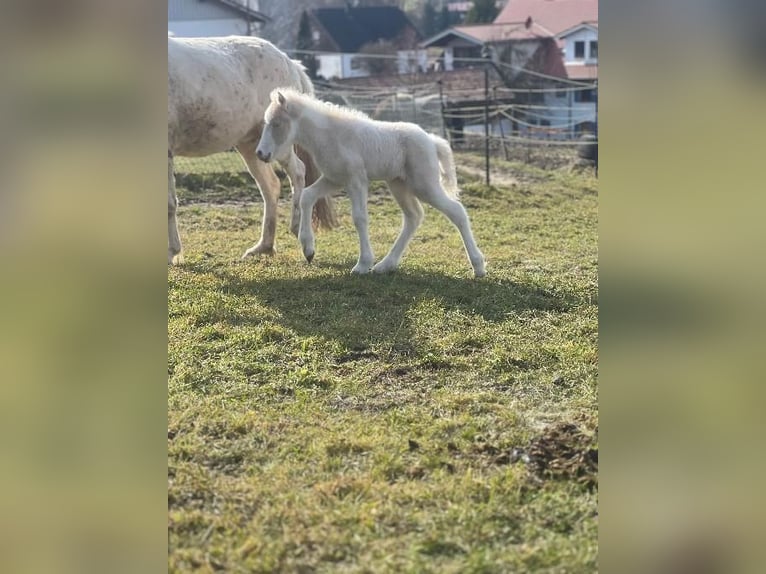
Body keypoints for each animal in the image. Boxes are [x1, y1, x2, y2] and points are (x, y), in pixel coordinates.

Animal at [167, 35, 337, 264]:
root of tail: (290, 63)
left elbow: (169, 203)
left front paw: (172, 253)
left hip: (278, 145)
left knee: (298, 173)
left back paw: (302, 239)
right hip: (253, 147)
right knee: (271, 186)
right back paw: (263, 247)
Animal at [255, 89, 486, 278]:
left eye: (276, 123)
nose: (261, 153)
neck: (331, 136)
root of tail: (431, 140)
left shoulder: (356, 180)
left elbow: (359, 218)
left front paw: (362, 264)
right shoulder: (334, 178)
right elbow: (307, 196)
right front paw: (308, 250)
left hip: (424, 184)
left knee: (456, 211)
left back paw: (478, 267)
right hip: (398, 184)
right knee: (414, 216)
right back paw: (386, 265)